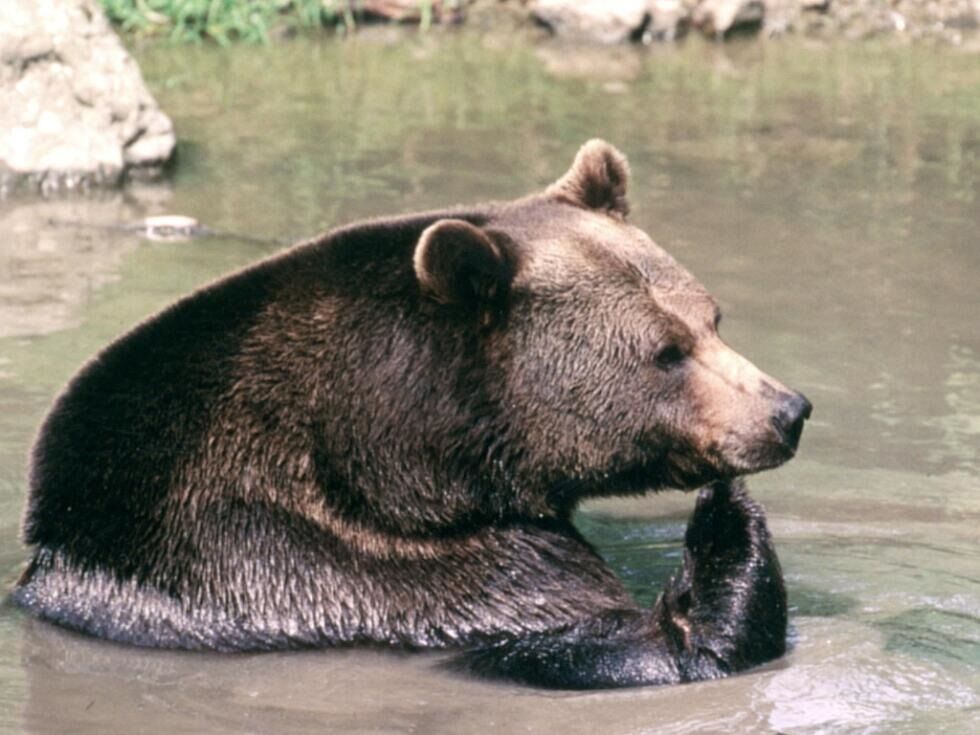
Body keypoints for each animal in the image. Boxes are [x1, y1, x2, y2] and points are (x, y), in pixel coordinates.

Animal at [12, 140, 811, 689]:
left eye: (712, 318)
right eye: (666, 351)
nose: (787, 410)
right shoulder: (352, 578)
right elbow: (639, 644)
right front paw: (725, 520)